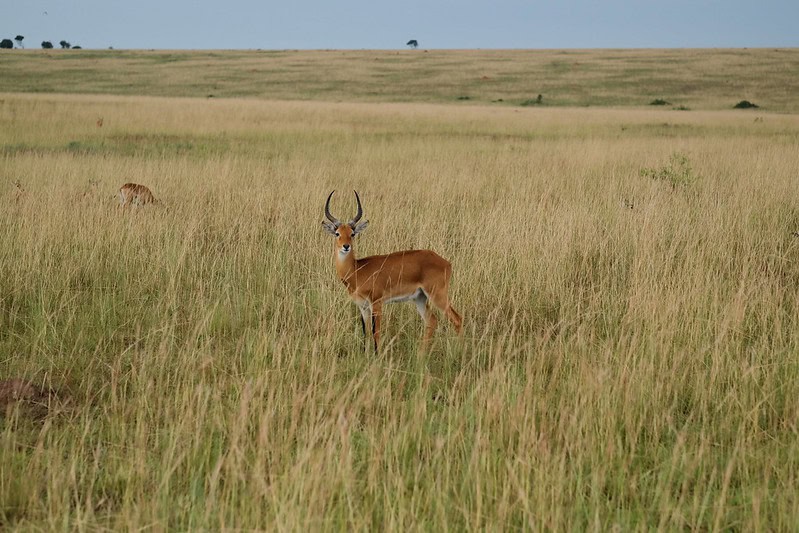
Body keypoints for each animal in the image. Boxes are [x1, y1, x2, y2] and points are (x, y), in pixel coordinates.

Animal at [324, 189, 462, 352]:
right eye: (337, 233)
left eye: (352, 233)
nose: (346, 246)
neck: (357, 270)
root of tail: (446, 262)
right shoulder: (362, 307)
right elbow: (366, 333)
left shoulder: (377, 303)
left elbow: (376, 333)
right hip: (420, 298)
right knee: (432, 321)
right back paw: (420, 355)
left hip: (437, 295)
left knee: (457, 319)